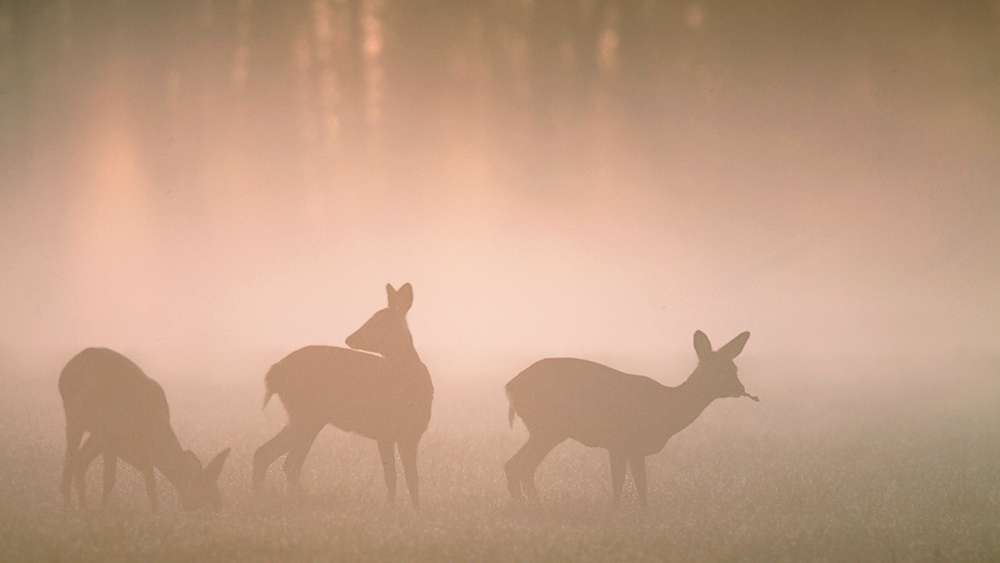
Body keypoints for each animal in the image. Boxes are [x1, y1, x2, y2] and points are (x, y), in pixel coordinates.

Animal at [61, 348, 233, 512]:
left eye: (218, 500)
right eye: (202, 496)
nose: (211, 515)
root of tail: (64, 370)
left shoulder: (143, 454)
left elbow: (151, 486)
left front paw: (156, 513)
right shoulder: (110, 437)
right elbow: (109, 478)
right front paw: (102, 511)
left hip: (95, 434)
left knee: (80, 461)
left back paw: (83, 507)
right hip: (75, 418)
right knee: (69, 460)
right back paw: (68, 506)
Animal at [252, 282, 432, 512]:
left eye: (378, 321)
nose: (350, 338)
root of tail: (273, 373)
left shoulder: (411, 435)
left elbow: (412, 479)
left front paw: (416, 512)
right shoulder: (385, 432)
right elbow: (391, 477)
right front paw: (391, 509)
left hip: (305, 418)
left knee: (271, 456)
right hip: (306, 416)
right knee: (284, 461)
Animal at [504, 328, 752, 508]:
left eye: (735, 368)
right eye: (718, 369)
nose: (739, 388)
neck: (667, 408)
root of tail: (509, 387)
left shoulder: (635, 448)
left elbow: (641, 484)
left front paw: (644, 513)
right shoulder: (619, 441)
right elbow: (620, 482)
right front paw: (615, 512)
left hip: (544, 429)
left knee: (512, 465)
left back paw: (523, 506)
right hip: (549, 427)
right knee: (522, 467)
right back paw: (535, 507)